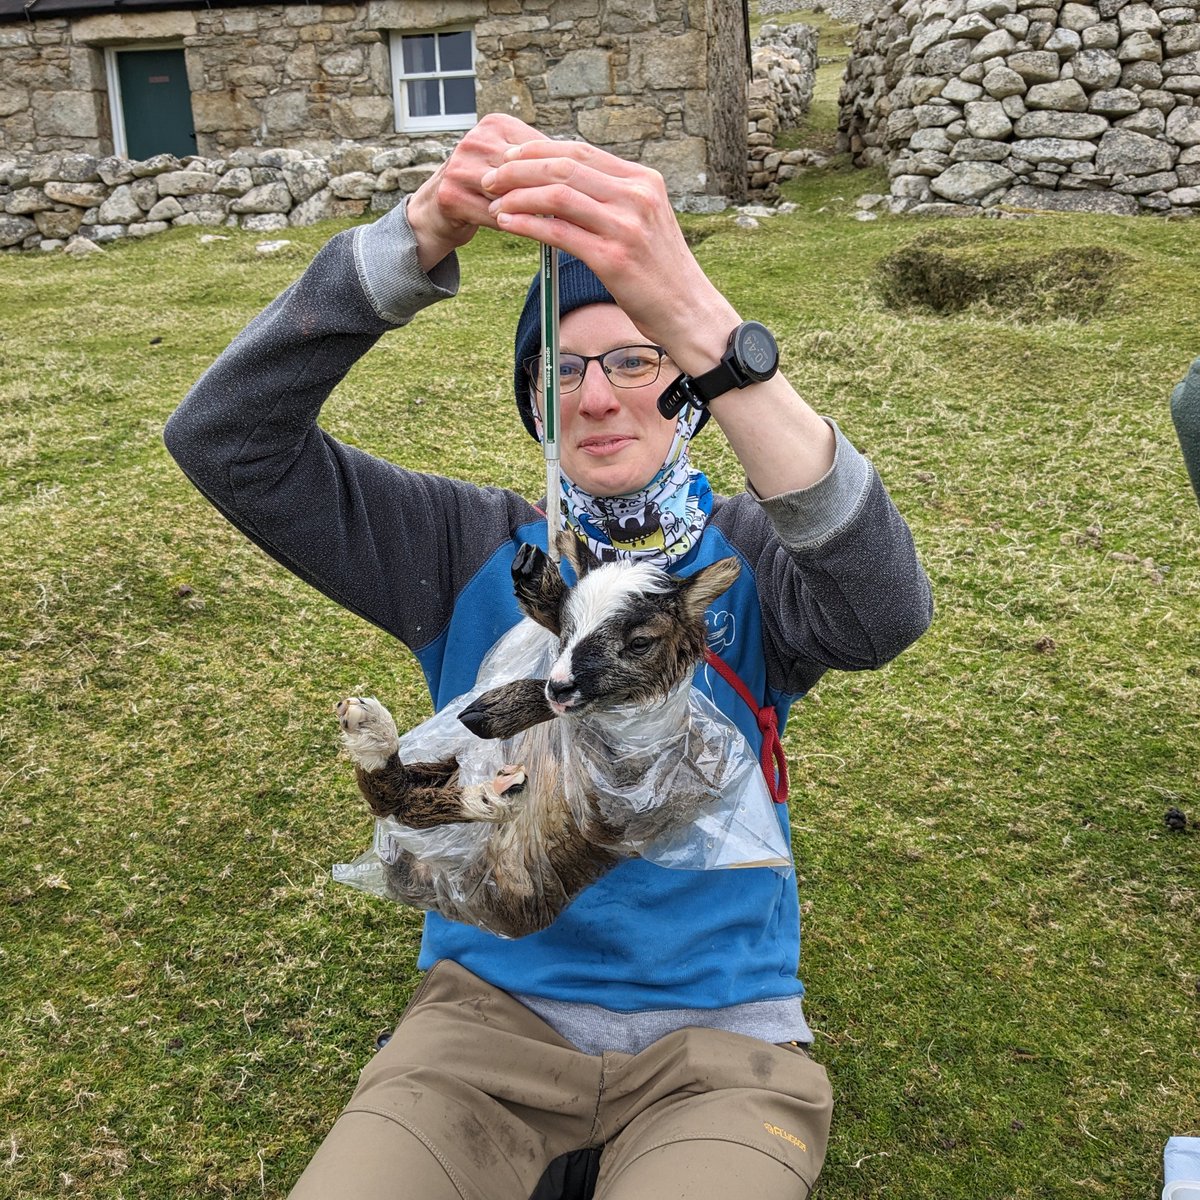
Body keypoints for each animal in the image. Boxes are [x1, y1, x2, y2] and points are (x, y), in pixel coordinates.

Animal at [336, 535, 739, 936]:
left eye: (640, 643)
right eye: (568, 628)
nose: (559, 687)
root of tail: (421, 885)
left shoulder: (626, 798)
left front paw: (499, 709)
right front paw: (540, 586)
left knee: (400, 804)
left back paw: (477, 788)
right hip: (445, 766)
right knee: (397, 795)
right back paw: (378, 737)